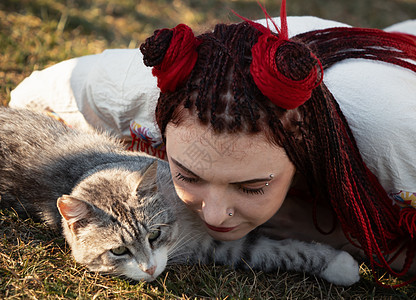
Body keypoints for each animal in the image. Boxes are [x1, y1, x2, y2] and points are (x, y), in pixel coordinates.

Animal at [0, 106, 358, 284]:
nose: (148, 270)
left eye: (155, 235)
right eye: (118, 251)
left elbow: (279, 249)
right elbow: (265, 252)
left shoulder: (216, 236)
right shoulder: (219, 248)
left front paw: (338, 264)